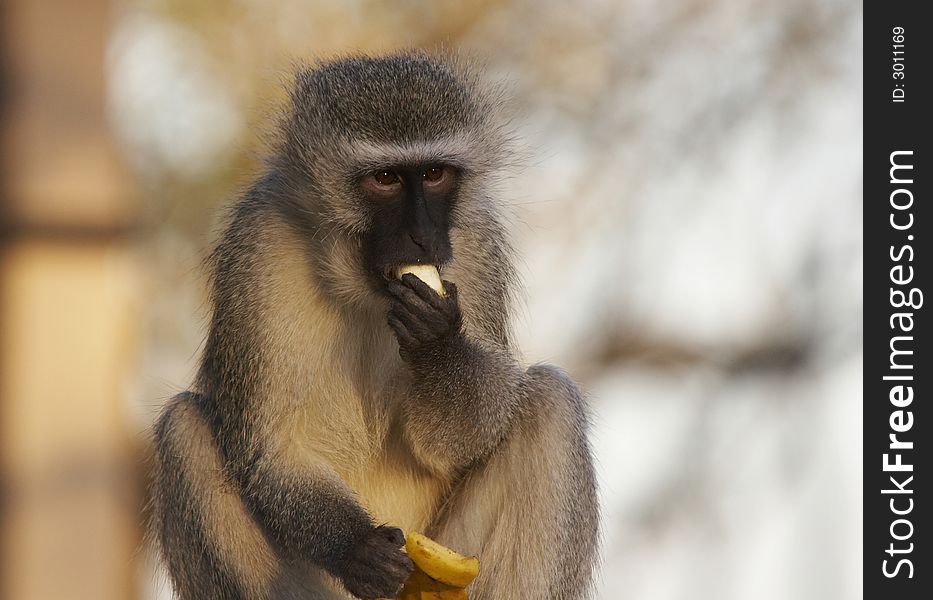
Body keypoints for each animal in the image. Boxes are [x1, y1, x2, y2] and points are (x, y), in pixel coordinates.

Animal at [153, 52, 596, 600]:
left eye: (434, 173)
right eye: (385, 178)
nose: (423, 236)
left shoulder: (474, 244)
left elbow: (464, 438)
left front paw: (438, 347)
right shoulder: (260, 245)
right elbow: (273, 452)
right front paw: (356, 549)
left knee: (550, 402)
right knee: (183, 427)